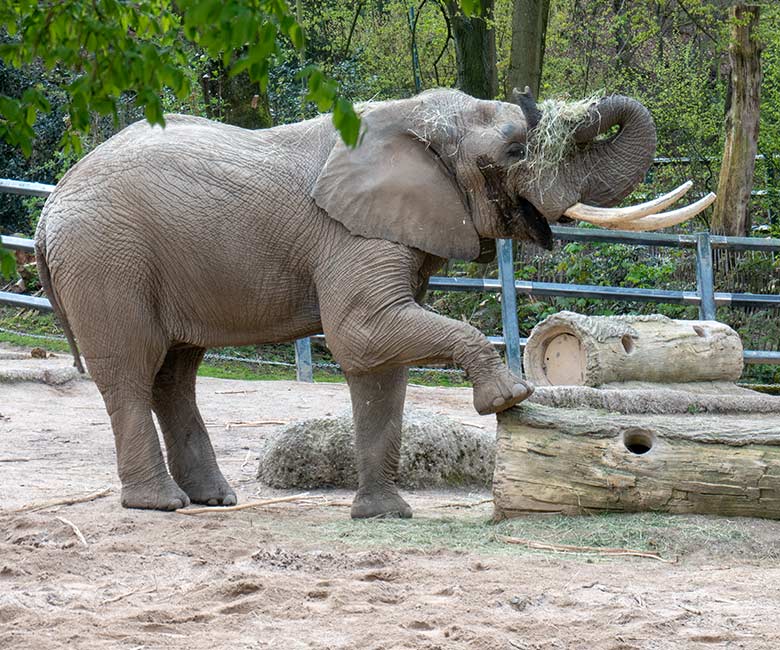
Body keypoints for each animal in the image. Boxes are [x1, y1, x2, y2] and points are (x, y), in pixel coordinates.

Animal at [35, 88, 708, 516]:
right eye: (515, 151)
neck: (412, 117)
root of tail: (51, 206)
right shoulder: (351, 233)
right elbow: (361, 334)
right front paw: (509, 399)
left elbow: (379, 362)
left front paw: (385, 515)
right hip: (106, 260)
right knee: (132, 368)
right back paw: (161, 504)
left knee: (175, 371)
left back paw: (214, 500)